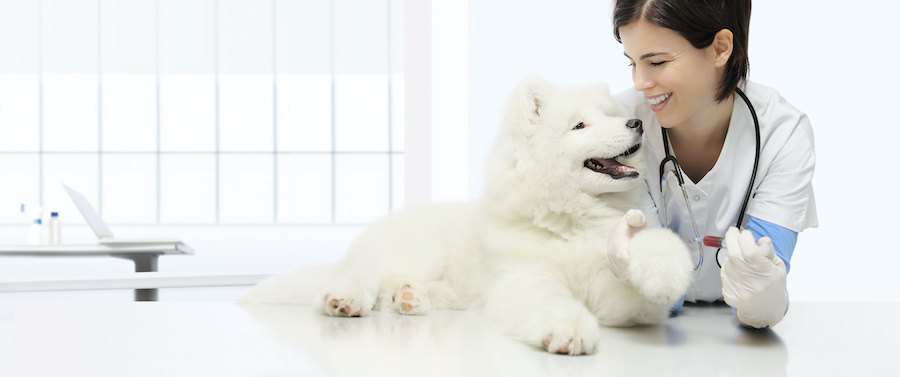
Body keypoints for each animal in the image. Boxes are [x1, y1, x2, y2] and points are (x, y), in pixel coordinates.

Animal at [241, 77, 696, 356]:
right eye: (580, 125)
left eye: (612, 115)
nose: (636, 122)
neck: (572, 223)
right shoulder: (523, 280)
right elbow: (550, 300)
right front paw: (568, 329)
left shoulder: (615, 294)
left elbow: (642, 266)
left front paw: (666, 270)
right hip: (412, 251)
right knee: (360, 277)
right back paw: (346, 300)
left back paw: (411, 297)